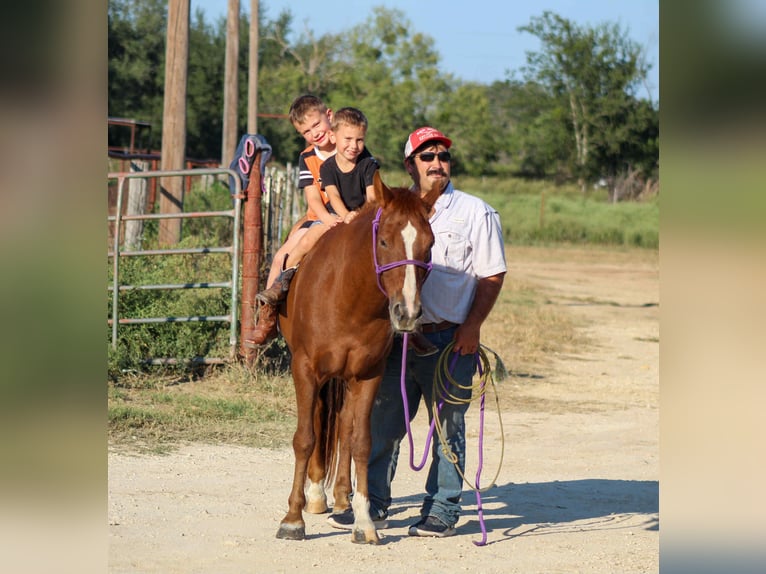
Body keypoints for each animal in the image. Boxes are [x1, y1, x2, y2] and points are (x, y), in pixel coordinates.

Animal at [275, 171, 438, 544]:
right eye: (385, 242)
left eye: (430, 244)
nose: (407, 313)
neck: (346, 294)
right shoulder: (304, 369)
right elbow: (305, 438)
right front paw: (292, 520)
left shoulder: (368, 374)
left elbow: (361, 441)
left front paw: (363, 522)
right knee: (319, 422)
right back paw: (315, 496)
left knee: (344, 430)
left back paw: (338, 499)